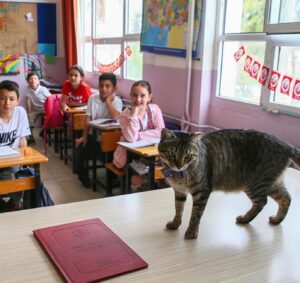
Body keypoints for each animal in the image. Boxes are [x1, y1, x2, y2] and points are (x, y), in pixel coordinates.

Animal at [158, 128, 298, 240]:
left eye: (188, 156)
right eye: (172, 154)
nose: (179, 166)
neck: (178, 176)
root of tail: (285, 143)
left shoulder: (201, 192)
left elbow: (195, 215)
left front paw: (192, 232)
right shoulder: (179, 191)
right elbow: (178, 209)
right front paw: (175, 224)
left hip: (256, 184)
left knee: (262, 202)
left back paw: (245, 219)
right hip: (271, 184)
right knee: (286, 198)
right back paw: (276, 220)